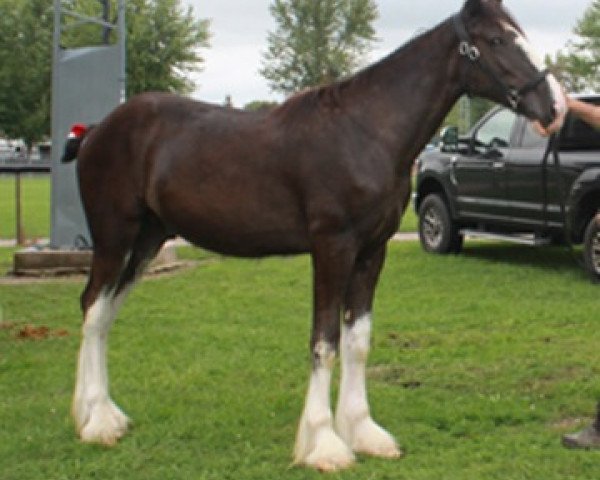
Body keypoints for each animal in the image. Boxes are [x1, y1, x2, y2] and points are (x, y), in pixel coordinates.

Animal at [67, 0, 568, 472]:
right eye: (497, 40)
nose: (556, 108)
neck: (365, 131)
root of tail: (96, 131)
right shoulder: (332, 248)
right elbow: (324, 341)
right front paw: (324, 443)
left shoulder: (371, 252)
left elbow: (357, 341)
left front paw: (364, 432)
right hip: (114, 238)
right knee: (93, 309)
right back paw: (95, 422)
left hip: (147, 241)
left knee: (106, 313)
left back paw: (106, 414)